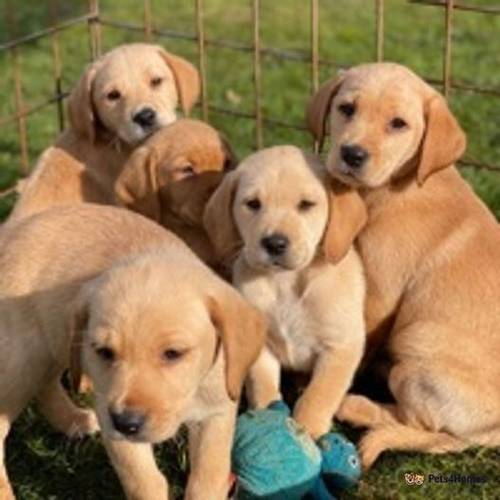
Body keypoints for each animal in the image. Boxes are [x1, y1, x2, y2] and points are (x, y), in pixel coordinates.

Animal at [0, 204, 266, 500]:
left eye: (173, 353)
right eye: (104, 352)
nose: (126, 423)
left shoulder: (217, 411)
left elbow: (207, 478)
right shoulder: (112, 419)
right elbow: (146, 482)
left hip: (53, 345)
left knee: (46, 385)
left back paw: (73, 420)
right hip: (20, 362)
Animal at [204, 146, 368, 438]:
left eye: (306, 205)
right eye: (253, 204)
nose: (274, 243)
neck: (287, 282)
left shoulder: (341, 346)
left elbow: (319, 395)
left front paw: (308, 432)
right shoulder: (260, 344)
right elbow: (263, 386)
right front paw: (268, 419)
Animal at [306, 64, 500, 466]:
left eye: (398, 124)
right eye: (346, 109)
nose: (352, 153)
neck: (399, 182)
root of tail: (494, 434)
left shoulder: (379, 296)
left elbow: (359, 342)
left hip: (418, 344)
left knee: (422, 424)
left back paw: (357, 406)